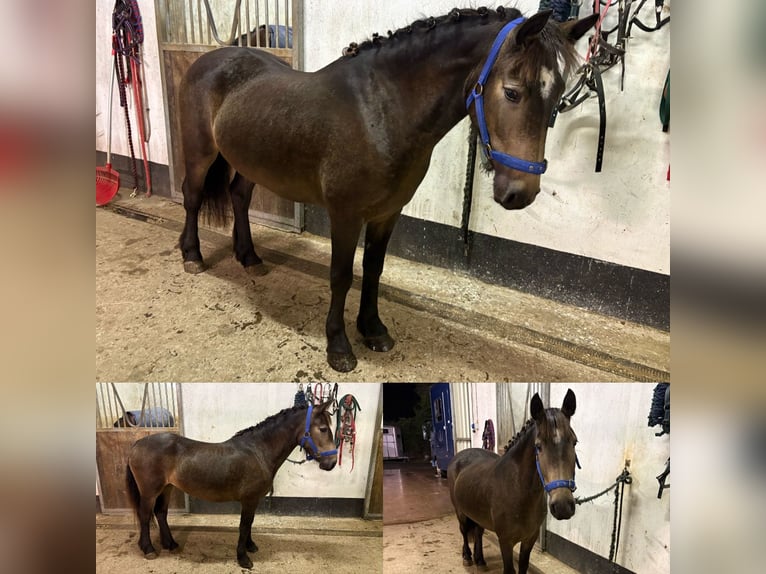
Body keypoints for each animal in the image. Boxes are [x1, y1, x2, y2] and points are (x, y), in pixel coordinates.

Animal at [125, 400, 338, 569]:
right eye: (323, 429)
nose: (332, 463)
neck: (258, 451)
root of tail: (136, 444)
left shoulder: (253, 500)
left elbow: (249, 524)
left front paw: (250, 547)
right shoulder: (249, 500)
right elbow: (244, 526)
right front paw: (243, 558)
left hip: (167, 488)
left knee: (161, 513)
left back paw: (171, 544)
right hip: (149, 491)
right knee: (145, 516)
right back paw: (149, 549)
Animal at [177, 8, 598, 372]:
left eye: (557, 98)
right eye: (512, 92)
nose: (521, 193)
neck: (378, 110)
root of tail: (208, 59)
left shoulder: (387, 213)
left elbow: (373, 270)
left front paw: (373, 329)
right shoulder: (345, 214)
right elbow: (341, 275)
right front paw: (339, 345)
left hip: (248, 160)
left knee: (239, 197)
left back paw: (249, 257)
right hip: (201, 154)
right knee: (192, 197)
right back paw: (193, 256)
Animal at [448, 389, 579, 574]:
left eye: (574, 442)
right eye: (538, 446)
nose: (563, 506)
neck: (517, 490)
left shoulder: (529, 539)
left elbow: (523, 567)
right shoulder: (505, 541)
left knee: (478, 532)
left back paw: (480, 560)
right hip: (460, 511)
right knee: (464, 531)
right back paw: (467, 557)